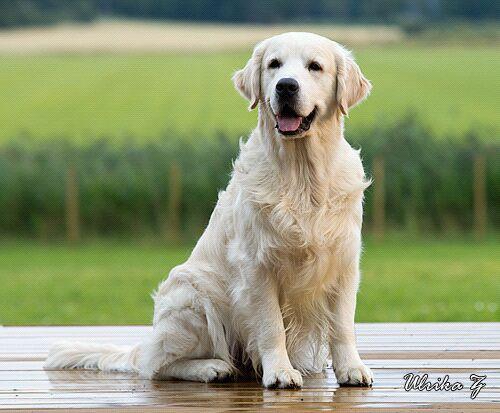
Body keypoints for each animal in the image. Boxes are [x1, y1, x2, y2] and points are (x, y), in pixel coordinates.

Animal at [46, 31, 372, 386]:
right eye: (274, 64)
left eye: (315, 66)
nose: (286, 86)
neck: (302, 175)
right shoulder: (257, 267)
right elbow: (271, 327)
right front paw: (281, 372)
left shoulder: (344, 262)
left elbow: (343, 326)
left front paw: (351, 368)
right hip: (193, 295)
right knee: (157, 365)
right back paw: (211, 368)